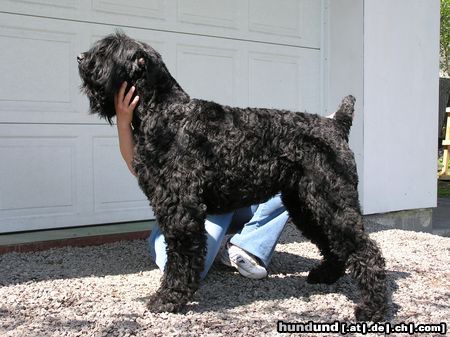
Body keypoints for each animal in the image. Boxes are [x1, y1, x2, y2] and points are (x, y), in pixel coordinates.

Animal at [76, 32, 386, 320]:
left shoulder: (180, 209)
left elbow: (180, 256)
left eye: (107, 50)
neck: (165, 112)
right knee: (334, 243)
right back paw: (325, 275)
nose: (80, 58)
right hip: (305, 204)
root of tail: (335, 125)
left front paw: (168, 298)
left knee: (366, 250)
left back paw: (372, 308)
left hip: (331, 201)